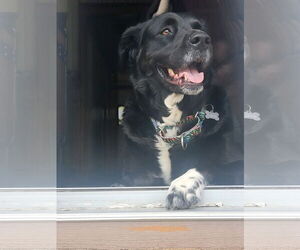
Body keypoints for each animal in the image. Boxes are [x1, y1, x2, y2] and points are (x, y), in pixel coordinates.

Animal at [118, 13, 233, 209]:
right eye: (166, 31)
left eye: (199, 29)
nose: (202, 39)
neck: (170, 123)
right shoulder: (136, 178)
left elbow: (205, 164)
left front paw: (182, 187)